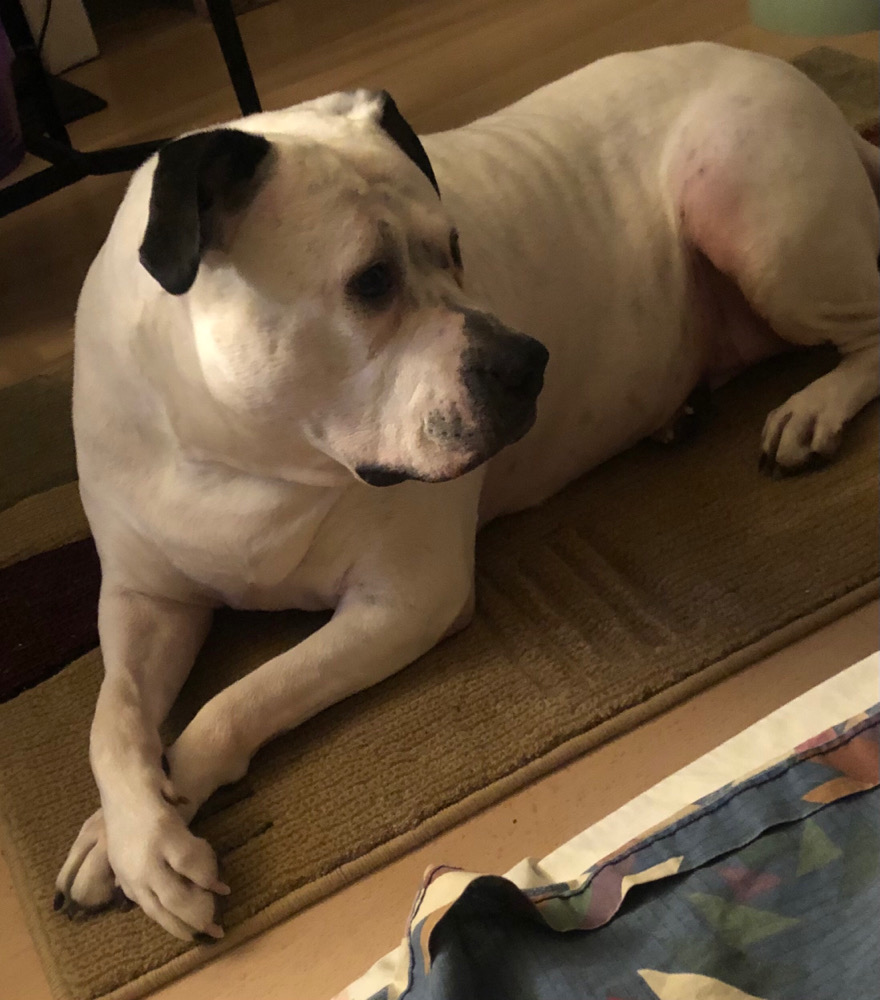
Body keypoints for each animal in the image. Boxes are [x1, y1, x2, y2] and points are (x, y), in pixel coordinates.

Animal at [55, 42, 879, 940]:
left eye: (454, 246)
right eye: (371, 281)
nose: (529, 362)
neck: (236, 454)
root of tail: (781, 70)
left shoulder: (404, 601)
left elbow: (240, 698)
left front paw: (159, 818)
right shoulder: (144, 599)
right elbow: (111, 717)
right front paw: (125, 834)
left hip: (749, 211)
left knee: (868, 335)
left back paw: (814, 408)